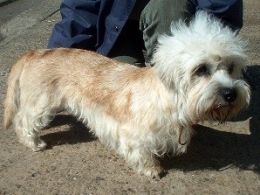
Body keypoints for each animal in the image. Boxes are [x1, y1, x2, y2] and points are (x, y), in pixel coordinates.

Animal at [2, 11, 250, 177]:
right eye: (201, 69)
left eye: (231, 67)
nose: (230, 94)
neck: (170, 101)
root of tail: (34, 53)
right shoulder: (132, 135)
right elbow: (142, 154)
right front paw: (152, 169)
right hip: (41, 105)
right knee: (23, 121)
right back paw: (34, 143)